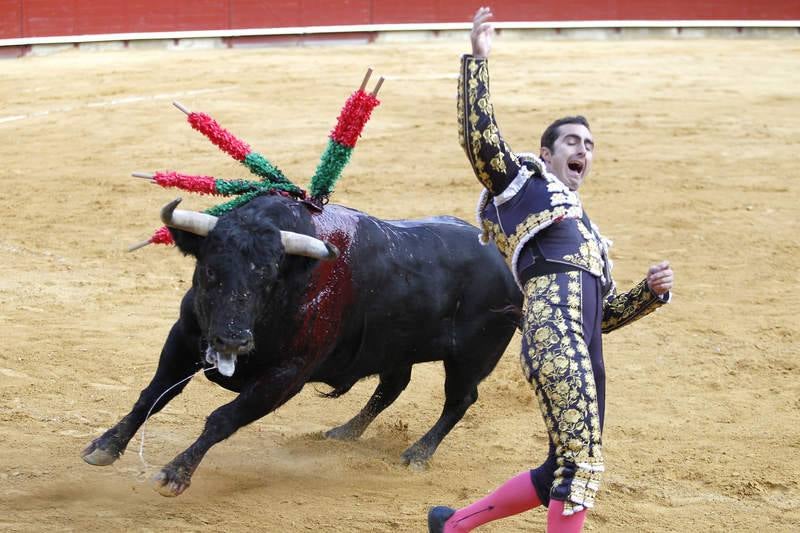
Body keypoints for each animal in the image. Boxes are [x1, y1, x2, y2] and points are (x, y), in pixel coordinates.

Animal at [79, 194, 520, 494]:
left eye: (268, 277)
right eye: (209, 269)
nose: (233, 339)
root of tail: (502, 258)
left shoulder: (287, 376)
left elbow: (223, 418)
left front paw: (175, 473)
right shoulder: (184, 339)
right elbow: (152, 396)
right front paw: (106, 445)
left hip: (471, 358)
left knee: (459, 401)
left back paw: (417, 454)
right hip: (396, 348)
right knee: (393, 386)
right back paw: (344, 432)